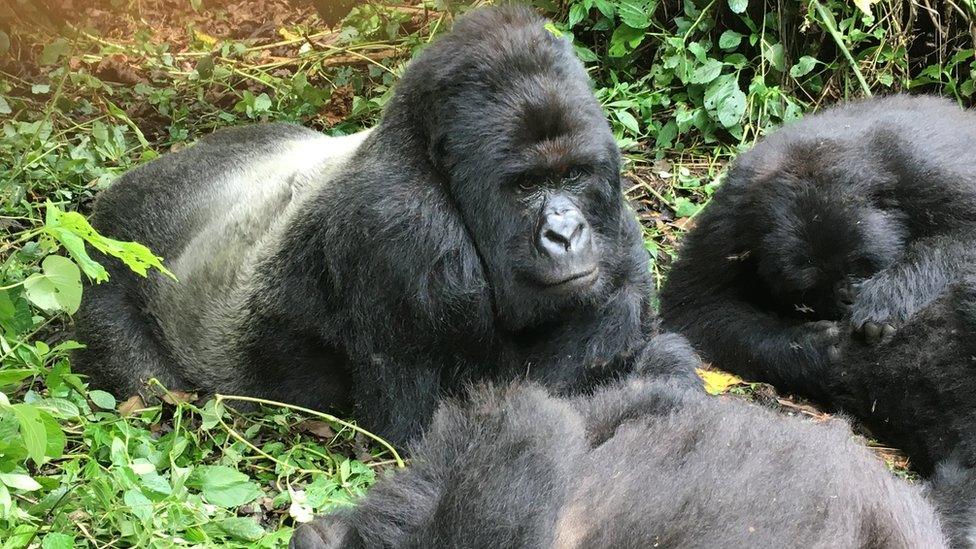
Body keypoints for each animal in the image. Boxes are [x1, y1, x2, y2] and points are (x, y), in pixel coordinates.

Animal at [78, 5, 700, 446]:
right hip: (99, 259)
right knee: (146, 379)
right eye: (525, 186)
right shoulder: (400, 231)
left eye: (573, 175)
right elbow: (428, 434)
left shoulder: (617, 225)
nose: (566, 234)